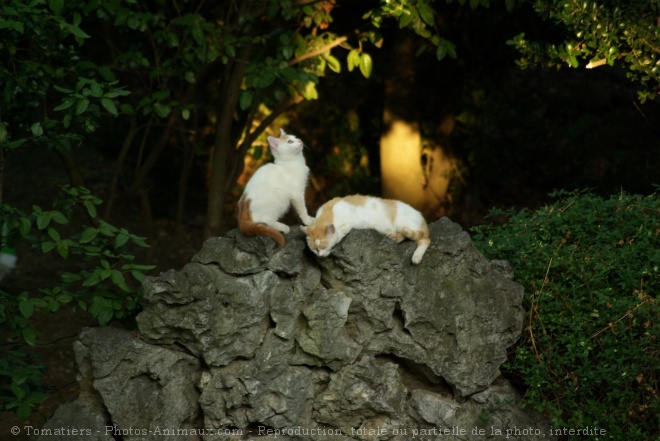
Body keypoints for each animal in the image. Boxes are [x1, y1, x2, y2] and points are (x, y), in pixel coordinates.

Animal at [300, 194, 434, 262]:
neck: (329, 213)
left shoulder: (358, 222)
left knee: (425, 240)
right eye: (315, 250)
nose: (321, 256)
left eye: (324, 247)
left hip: (403, 223)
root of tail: (422, 218)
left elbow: (343, 230)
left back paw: (415, 257)